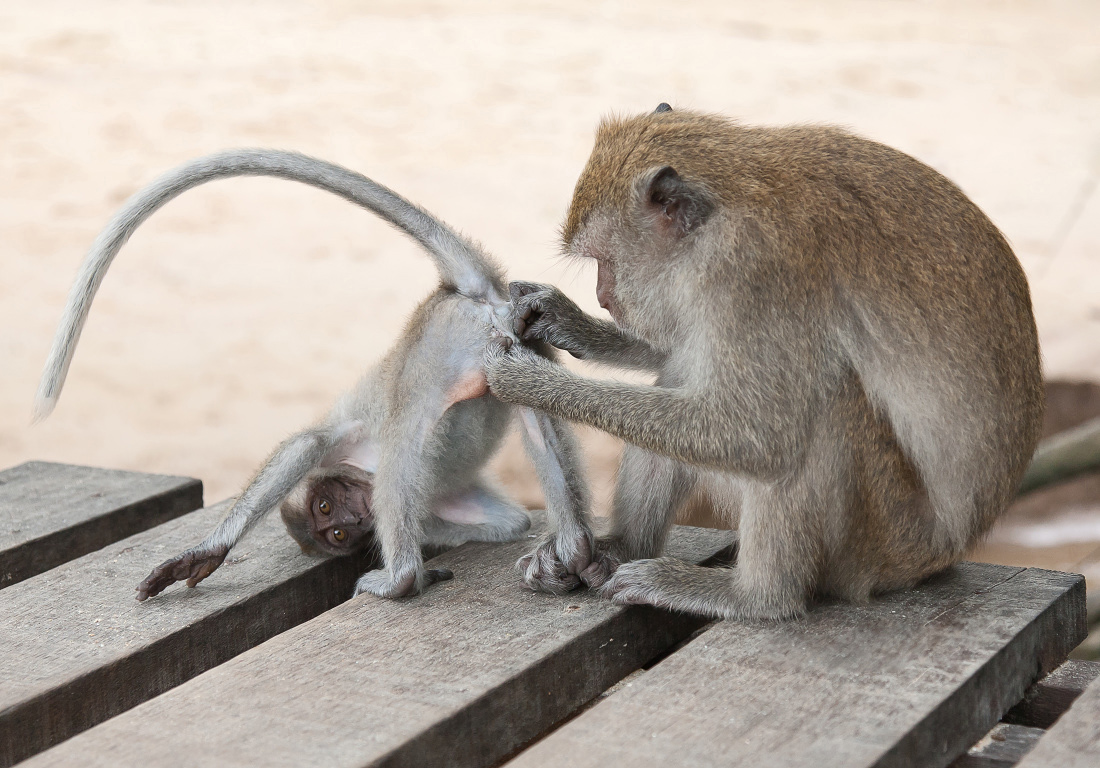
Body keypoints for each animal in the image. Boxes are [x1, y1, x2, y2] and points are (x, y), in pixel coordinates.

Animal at [486, 103, 1042, 616]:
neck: (733, 192)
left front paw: (529, 381)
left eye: (605, 259)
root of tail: (948, 549)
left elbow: (757, 435)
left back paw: (755, 597)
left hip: (889, 542)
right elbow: (685, 346)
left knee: (818, 415)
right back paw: (622, 547)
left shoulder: (749, 272)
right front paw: (562, 320)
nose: (604, 298)